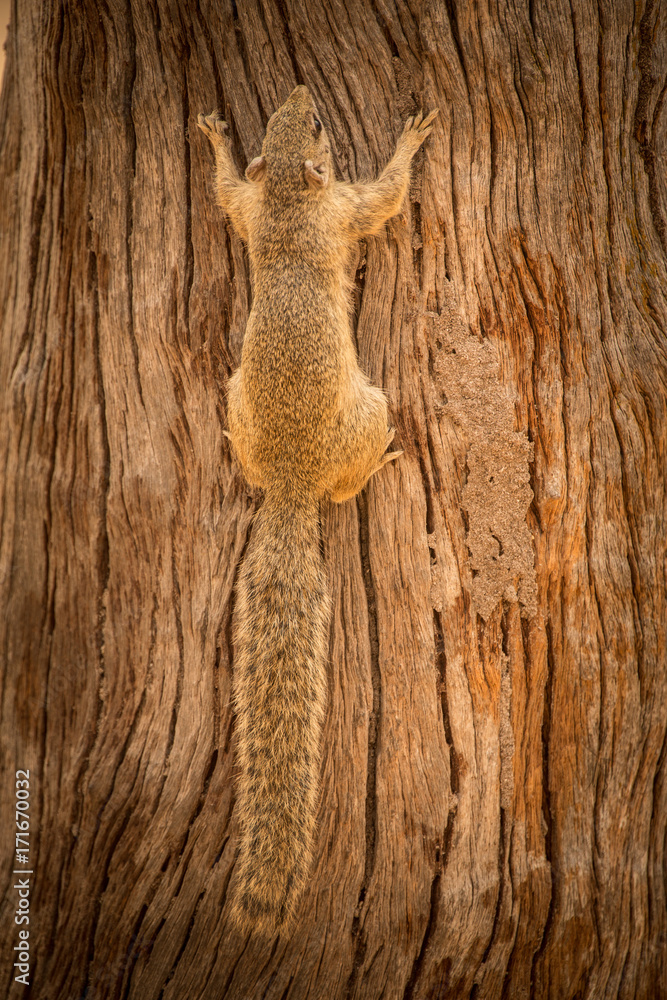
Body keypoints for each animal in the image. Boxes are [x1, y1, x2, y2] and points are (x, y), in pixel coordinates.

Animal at [198, 86, 437, 935]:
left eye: (291, 116)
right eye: (320, 127)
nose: (302, 92)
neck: (288, 199)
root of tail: (290, 485)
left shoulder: (251, 209)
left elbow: (222, 191)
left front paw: (215, 141)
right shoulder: (346, 209)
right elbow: (387, 196)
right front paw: (411, 140)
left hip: (241, 404)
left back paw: (229, 438)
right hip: (368, 411)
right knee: (347, 482)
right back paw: (383, 463)